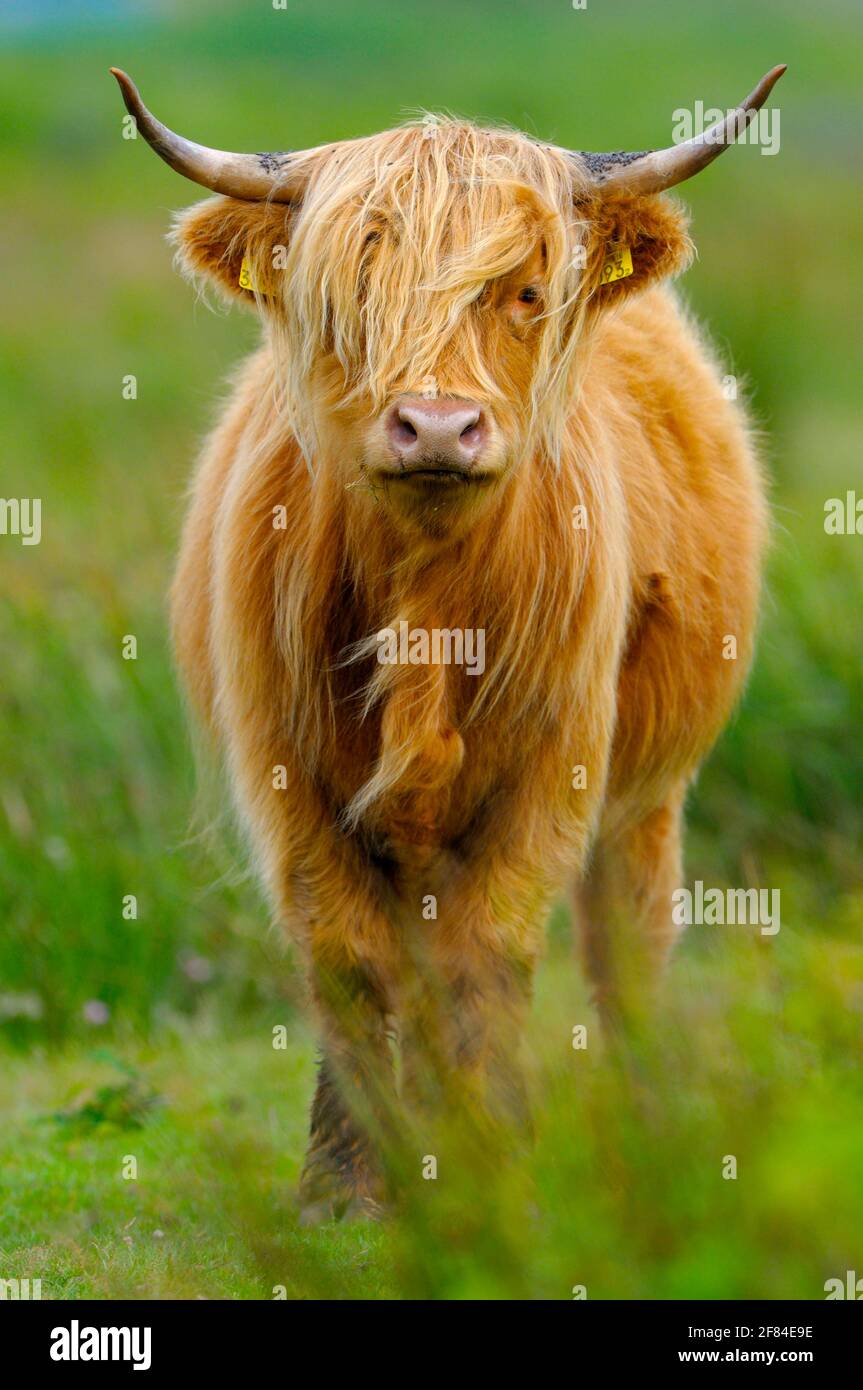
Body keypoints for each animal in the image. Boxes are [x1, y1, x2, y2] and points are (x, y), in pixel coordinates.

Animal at [112, 62, 778, 1217]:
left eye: (524, 293)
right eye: (349, 299)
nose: (433, 426)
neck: (425, 607)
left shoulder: (551, 768)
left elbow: (489, 955)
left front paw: (486, 1157)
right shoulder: (287, 775)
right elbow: (345, 958)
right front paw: (348, 1185)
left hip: (647, 794)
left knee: (625, 945)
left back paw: (637, 1125)